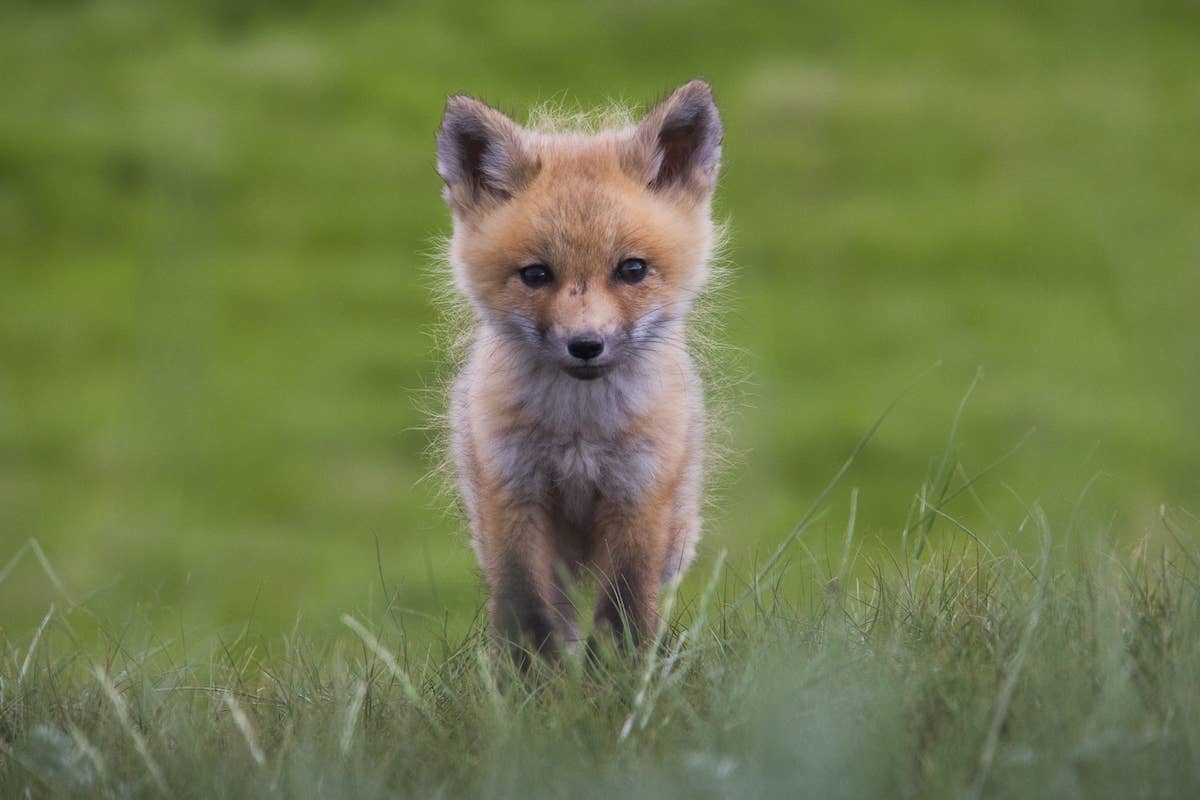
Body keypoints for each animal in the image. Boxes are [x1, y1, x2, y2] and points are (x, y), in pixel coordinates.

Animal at [435, 80, 723, 659]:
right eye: (535, 275)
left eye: (631, 269)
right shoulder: (514, 492)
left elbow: (623, 608)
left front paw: (618, 673)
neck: (579, 432)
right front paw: (531, 679)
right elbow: (526, 609)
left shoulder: (638, 494)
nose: (585, 345)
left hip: (676, 529)